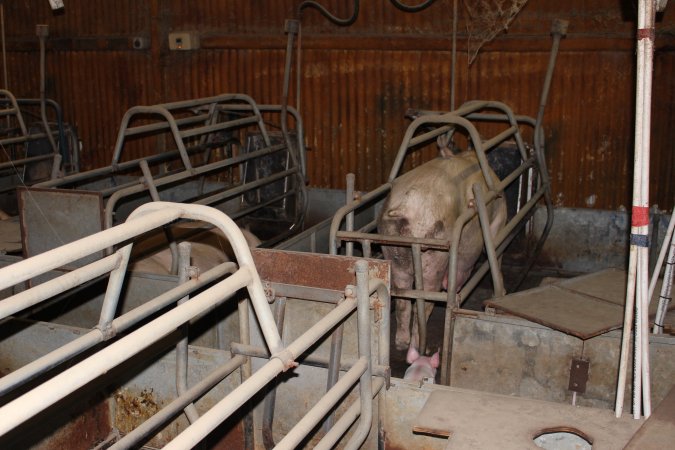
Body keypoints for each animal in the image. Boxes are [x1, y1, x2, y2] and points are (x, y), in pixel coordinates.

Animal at [378, 149, 504, 354]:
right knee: (423, 303)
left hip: (392, 247)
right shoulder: (499, 219)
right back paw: (418, 348)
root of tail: (407, 206)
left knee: (403, 300)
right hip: (434, 256)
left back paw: (401, 344)